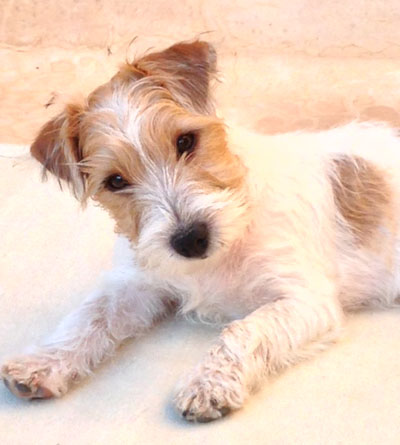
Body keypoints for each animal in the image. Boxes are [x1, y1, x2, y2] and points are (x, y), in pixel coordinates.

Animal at [2, 40, 400, 422]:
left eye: (185, 141)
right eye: (115, 181)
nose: (190, 239)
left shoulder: (304, 300)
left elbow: (244, 329)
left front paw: (208, 384)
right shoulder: (139, 285)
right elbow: (90, 316)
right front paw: (41, 363)